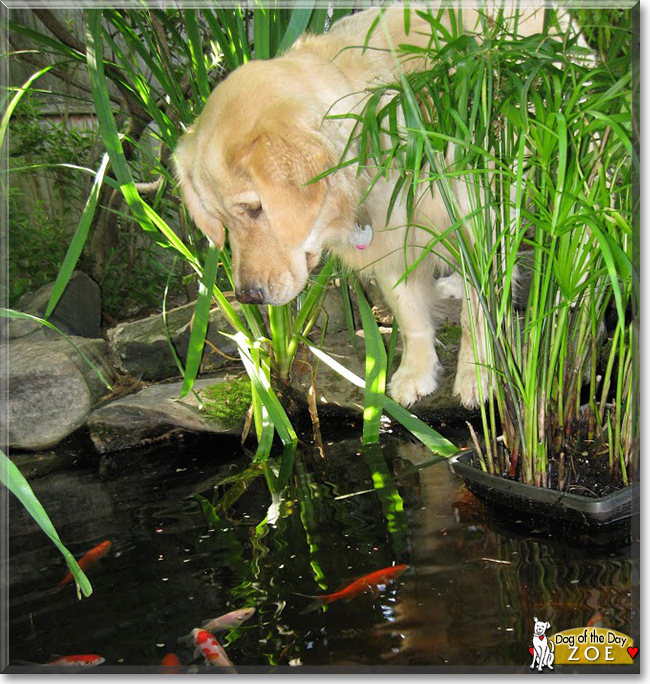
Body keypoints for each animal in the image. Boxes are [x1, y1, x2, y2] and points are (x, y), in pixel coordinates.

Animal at [176, 1, 548, 406]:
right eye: (222, 221)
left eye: (255, 208)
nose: (247, 296)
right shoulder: (390, 239)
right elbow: (409, 314)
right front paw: (416, 373)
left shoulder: (481, 221)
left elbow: (478, 313)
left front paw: (477, 373)